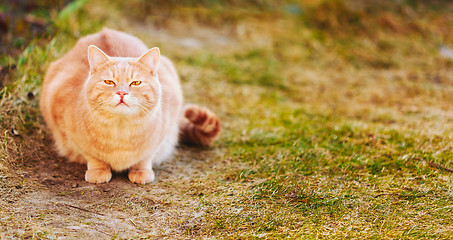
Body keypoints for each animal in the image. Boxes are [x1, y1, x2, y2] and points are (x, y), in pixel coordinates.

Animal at [40, 29, 221, 185]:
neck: (121, 132)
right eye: (109, 82)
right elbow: (93, 157)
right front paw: (98, 171)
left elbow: (145, 158)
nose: (121, 93)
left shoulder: (161, 133)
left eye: (136, 83)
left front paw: (141, 171)